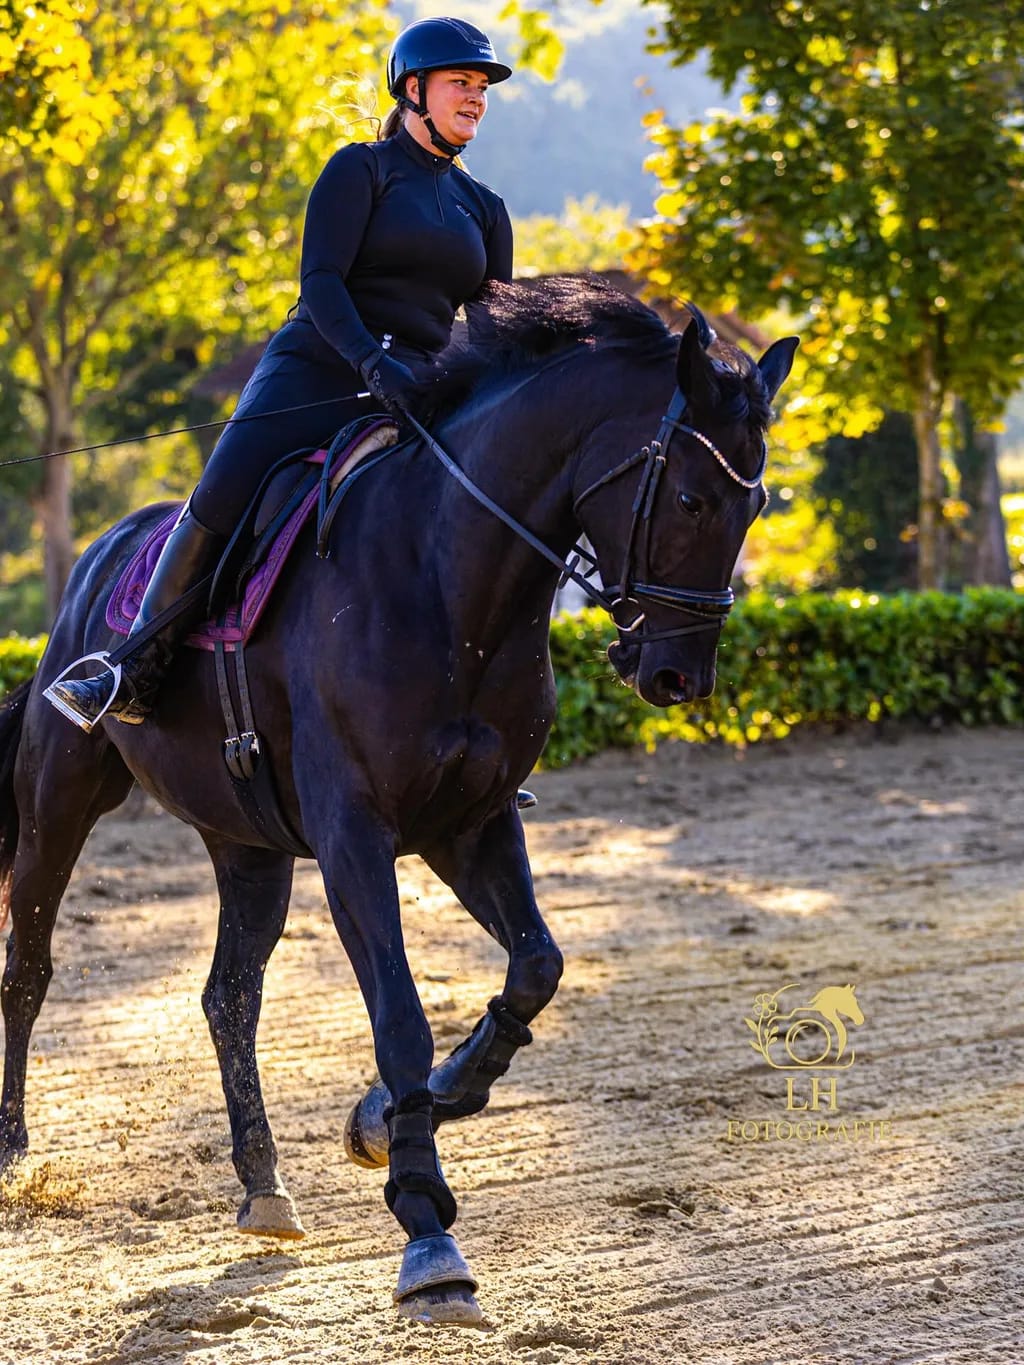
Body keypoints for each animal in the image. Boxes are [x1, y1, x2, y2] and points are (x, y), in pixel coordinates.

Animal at [0, 276, 797, 1325]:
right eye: (697, 496)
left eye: (758, 505)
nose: (677, 676)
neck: (448, 580)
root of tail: (104, 555)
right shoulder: (356, 837)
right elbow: (400, 1016)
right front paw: (427, 1230)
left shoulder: (471, 823)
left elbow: (536, 966)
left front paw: (393, 1115)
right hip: (60, 796)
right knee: (29, 967)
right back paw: (13, 1154)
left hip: (248, 843)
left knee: (229, 997)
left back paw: (264, 1185)